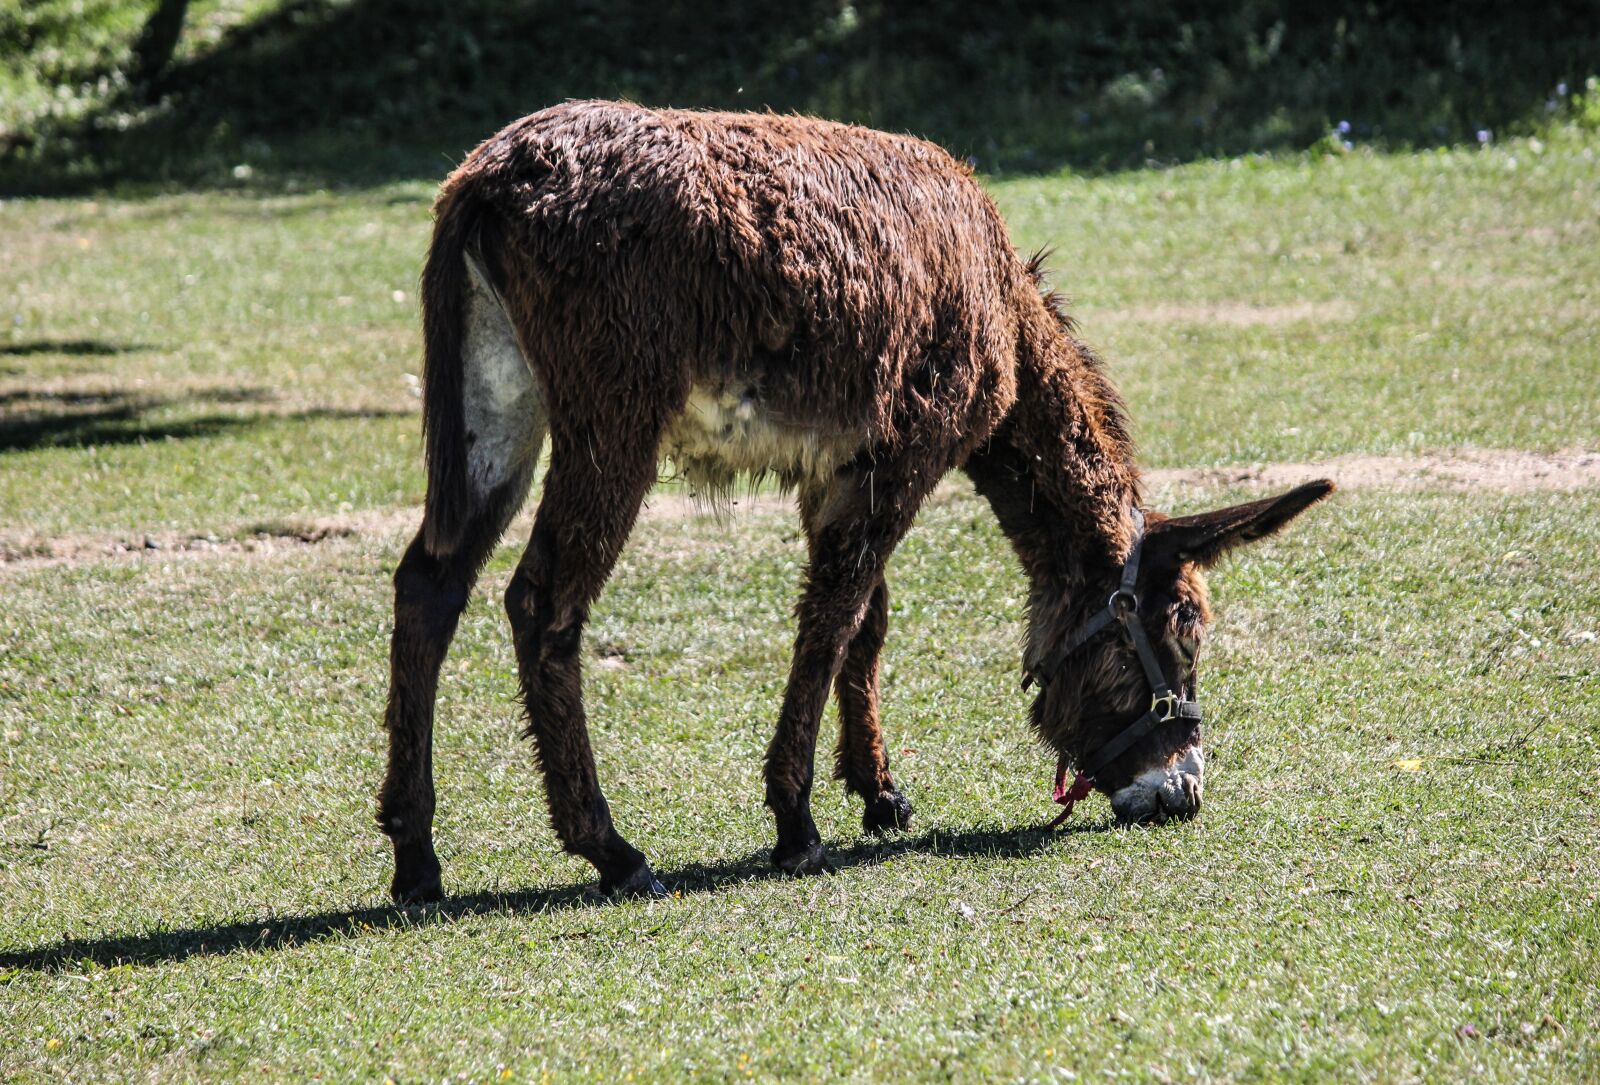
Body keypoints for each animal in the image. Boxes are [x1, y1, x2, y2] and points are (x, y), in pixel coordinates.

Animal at [376, 100, 1332, 902]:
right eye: (1183, 634)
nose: (1184, 792)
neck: (998, 300)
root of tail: (494, 172)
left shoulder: (836, 466)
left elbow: (867, 618)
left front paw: (877, 789)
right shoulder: (906, 450)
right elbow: (833, 616)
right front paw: (796, 821)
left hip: (498, 398)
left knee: (429, 582)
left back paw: (416, 856)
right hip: (613, 418)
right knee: (542, 604)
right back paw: (611, 849)